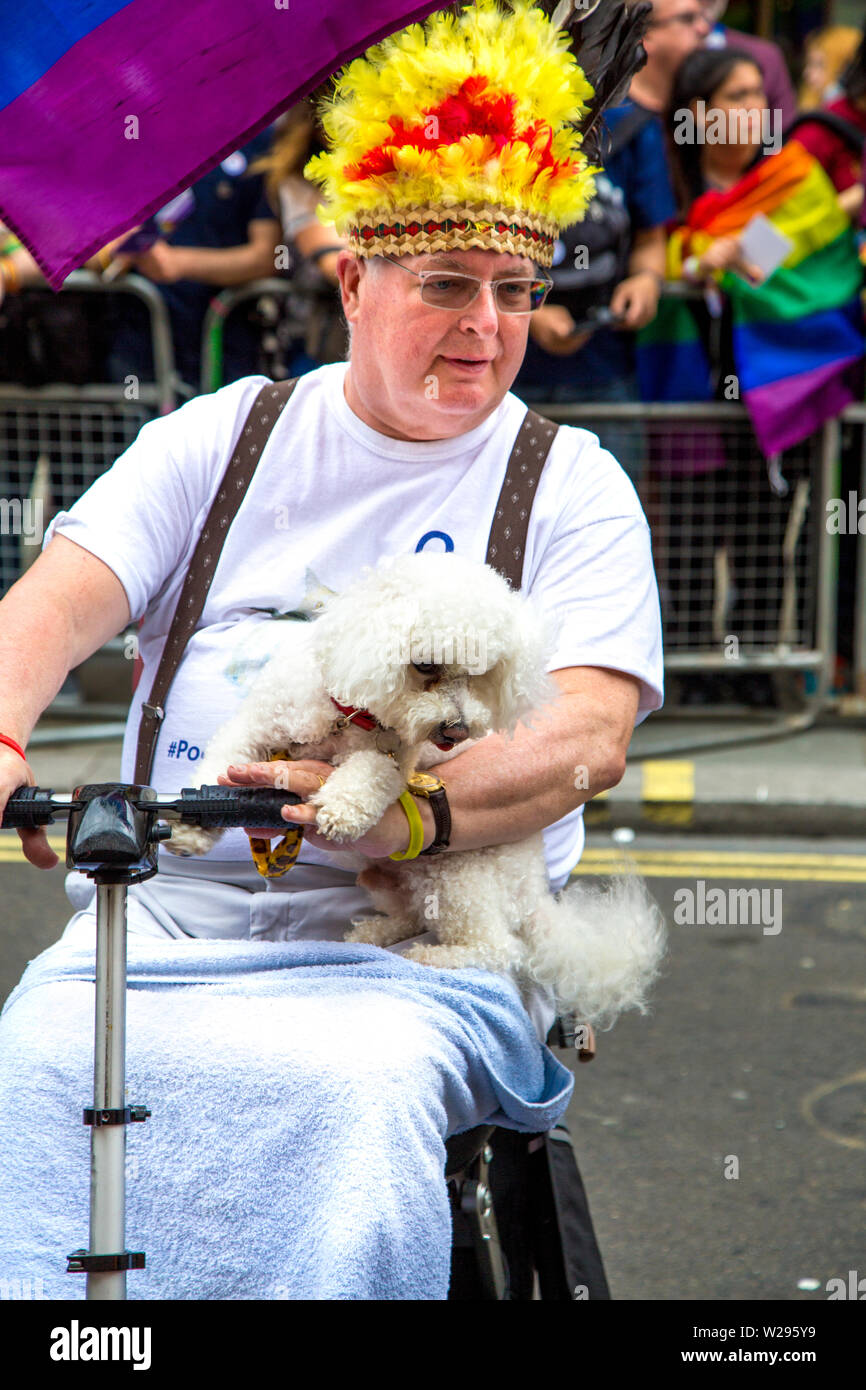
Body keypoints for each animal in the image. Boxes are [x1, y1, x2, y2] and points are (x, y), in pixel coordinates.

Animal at [166, 547, 667, 1028]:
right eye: (425, 664)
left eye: (480, 672)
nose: (458, 729)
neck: (349, 714)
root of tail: (534, 892)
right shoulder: (255, 728)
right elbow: (220, 765)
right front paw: (193, 825)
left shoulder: (393, 760)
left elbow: (369, 776)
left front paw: (341, 810)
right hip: (391, 876)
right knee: (410, 912)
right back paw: (373, 934)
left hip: (458, 876)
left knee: (500, 948)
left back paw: (432, 956)